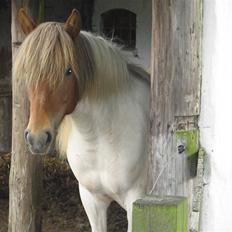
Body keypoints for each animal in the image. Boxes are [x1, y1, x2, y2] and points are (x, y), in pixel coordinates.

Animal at [16, 8, 150, 232]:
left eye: (69, 71)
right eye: (28, 71)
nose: (37, 138)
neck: (102, 139)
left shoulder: (136, 203)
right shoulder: (91, 200)